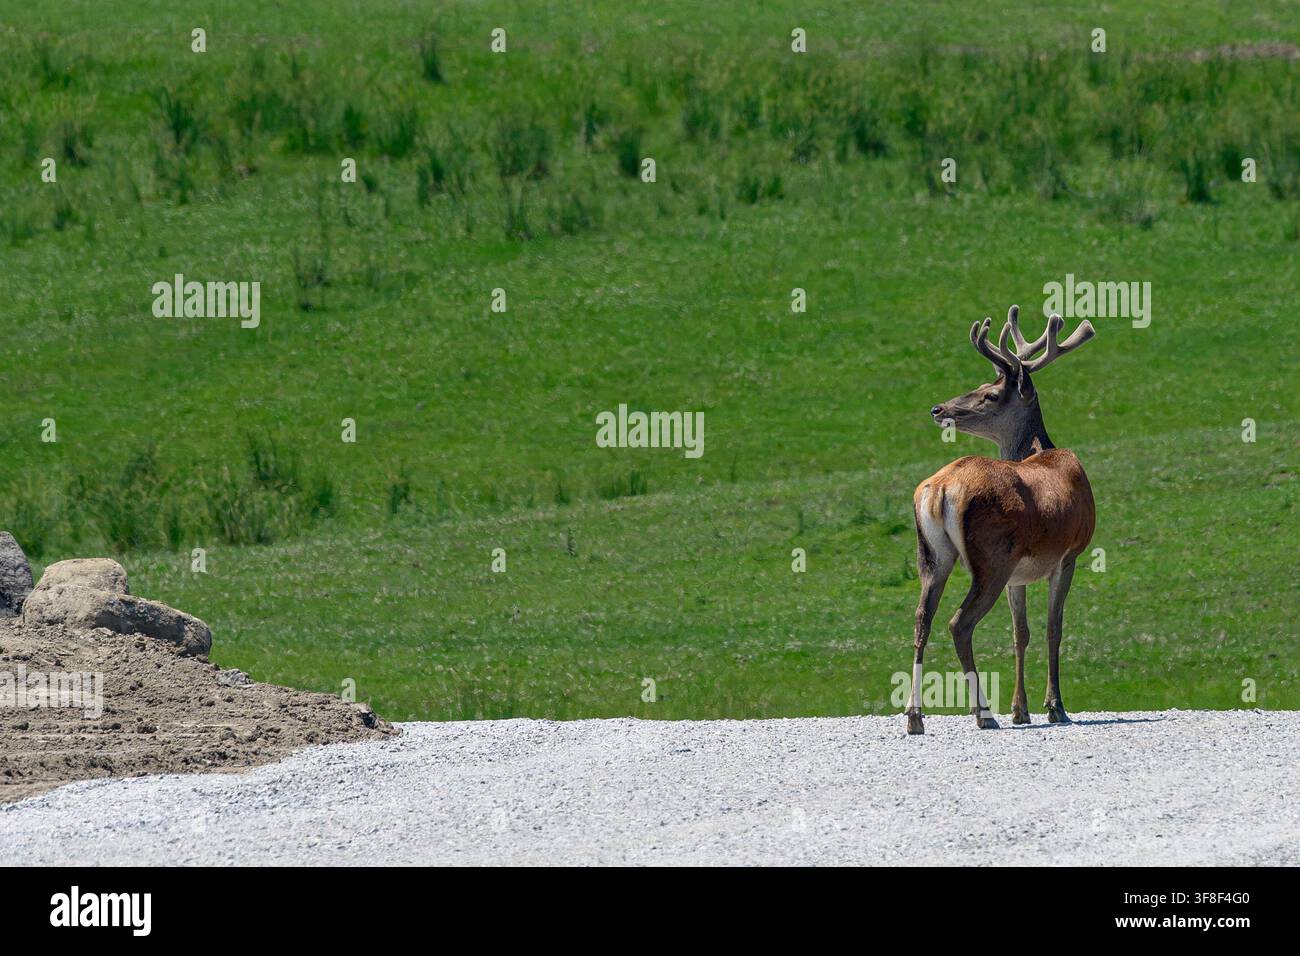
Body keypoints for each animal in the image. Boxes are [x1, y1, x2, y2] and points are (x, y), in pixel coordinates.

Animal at [905, 305, 1096, 734]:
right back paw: (983, 713)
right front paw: (1055, 707)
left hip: (934, 555)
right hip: (991, 557)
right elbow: (1053, 629)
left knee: (922, 618)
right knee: (959, 623)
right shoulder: (1069, 555)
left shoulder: (1019, 574)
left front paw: (1021, 709)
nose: (938, 409)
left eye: (989, 393)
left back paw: (914, 717)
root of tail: (940, 489)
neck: (1040, 451)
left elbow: (1019, 632)